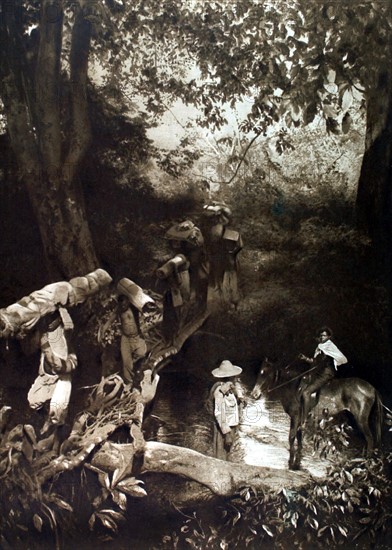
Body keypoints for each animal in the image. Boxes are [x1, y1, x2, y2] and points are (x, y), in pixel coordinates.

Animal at [251, 360, 382, 472]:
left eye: (266, 374)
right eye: (259, 373)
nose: (254, 394)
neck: (293, 387)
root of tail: (372, 388)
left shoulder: (295, 417)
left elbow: (292, 436)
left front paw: (290, 460)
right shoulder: (299, 420)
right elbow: (298, 436)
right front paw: (298, 456)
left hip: (361, 420)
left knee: (370, 439)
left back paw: (366, 461)